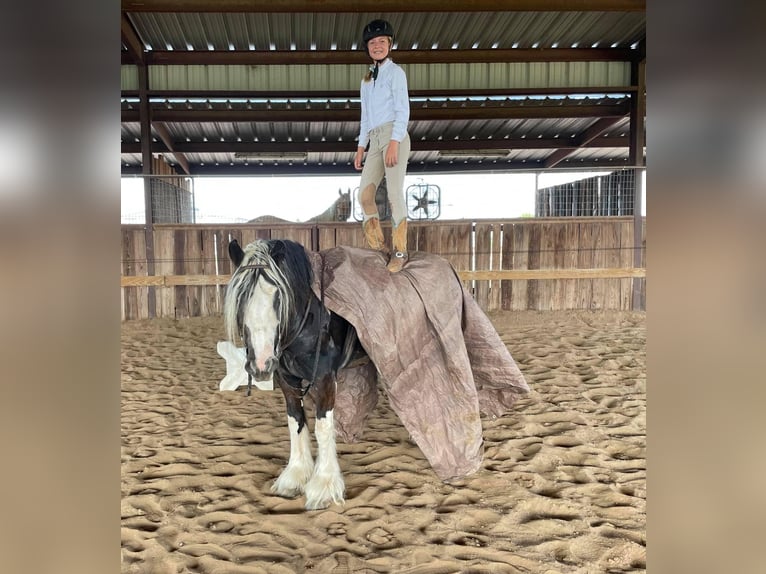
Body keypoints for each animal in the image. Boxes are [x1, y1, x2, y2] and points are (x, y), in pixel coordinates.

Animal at [224, 238, 368, 512]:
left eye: (278, 297)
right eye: (242, 297)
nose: (261, 364)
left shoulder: (324, 378)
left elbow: (322, 427)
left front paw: (324, 485)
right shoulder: (286, 379)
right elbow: (295, 422)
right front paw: (296, 475)